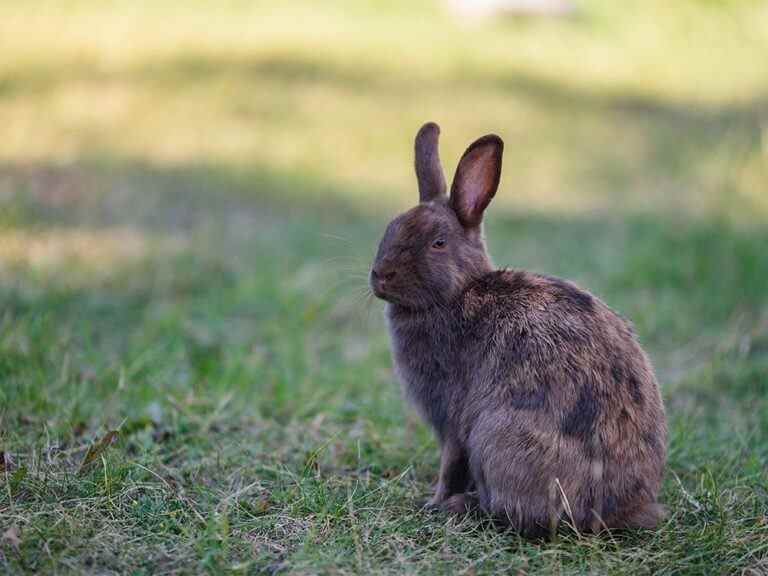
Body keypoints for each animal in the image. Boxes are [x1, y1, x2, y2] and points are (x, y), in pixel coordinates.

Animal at [370, 122, 664, 540]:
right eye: (391, 228)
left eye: (438, 243)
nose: (380, 276)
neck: (458, 293)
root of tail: (618, 510)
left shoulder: (453, 421)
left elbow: (450, 463)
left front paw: (433, 502)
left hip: (496, 437)